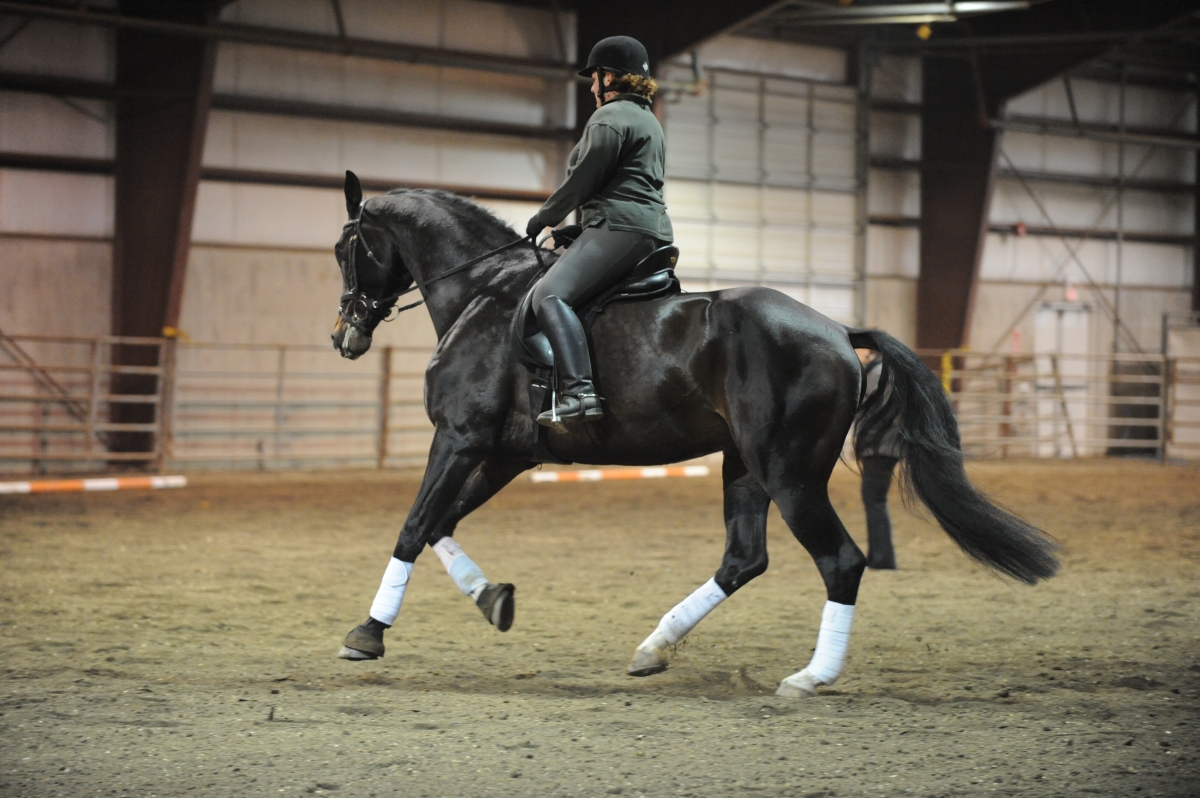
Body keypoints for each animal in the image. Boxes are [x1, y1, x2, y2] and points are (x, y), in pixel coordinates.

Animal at [329, 171, 1058, 697]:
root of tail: (836, 331)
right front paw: (492, 600)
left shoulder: (459, 439)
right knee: (744, 558)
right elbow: (441, 523)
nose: (344, 336)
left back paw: (809, 677)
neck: (482, 293)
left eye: (345, 250)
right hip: (746, 466)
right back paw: (655, 647)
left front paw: (367, 633)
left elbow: (414, 526)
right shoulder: (502, 454)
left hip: (789, 473)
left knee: (841, 561)